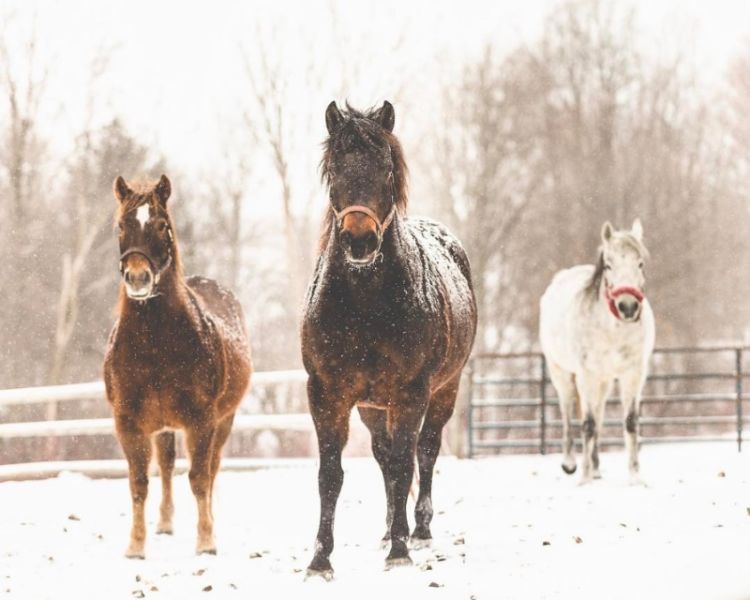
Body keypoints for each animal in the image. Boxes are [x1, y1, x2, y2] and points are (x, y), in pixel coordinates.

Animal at [103, 175, 253, 556]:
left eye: (161, 225)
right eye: (121, 225)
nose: (138, 278)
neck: (156, 346)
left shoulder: (202, 421)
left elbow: (199, 479)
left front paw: (206, 542)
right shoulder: (129, 423)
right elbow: (139, 482)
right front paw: (135, 547)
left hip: (223, 421)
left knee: (211, 469)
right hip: (164, 426)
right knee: (167, 467)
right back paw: (165, 523)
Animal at [302, 102, 478, 576]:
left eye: (386, 168)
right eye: (334, 168)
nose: (359, 240)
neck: (365, 304)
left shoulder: (411, 392)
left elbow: (405, 465)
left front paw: (400, 548)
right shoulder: (328, 394)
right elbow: (331, 474)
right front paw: (320, 557)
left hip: (443, 392)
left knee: (425, 452)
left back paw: (419, 527)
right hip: (371, 407)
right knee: (383, 456)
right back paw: (386, 526)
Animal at [540, 220, 656, 482]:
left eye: (640, 263)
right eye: (609, 265)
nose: (628, 307)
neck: (612, 329)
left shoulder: (633, 374)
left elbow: (629, 422)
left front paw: (635, 476)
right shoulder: (587, 375)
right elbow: (588, 424)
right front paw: (583, 478)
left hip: (604, 381)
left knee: (600, 415)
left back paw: (595, 467)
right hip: (562, 374)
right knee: (568, 411)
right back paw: (571, 463)